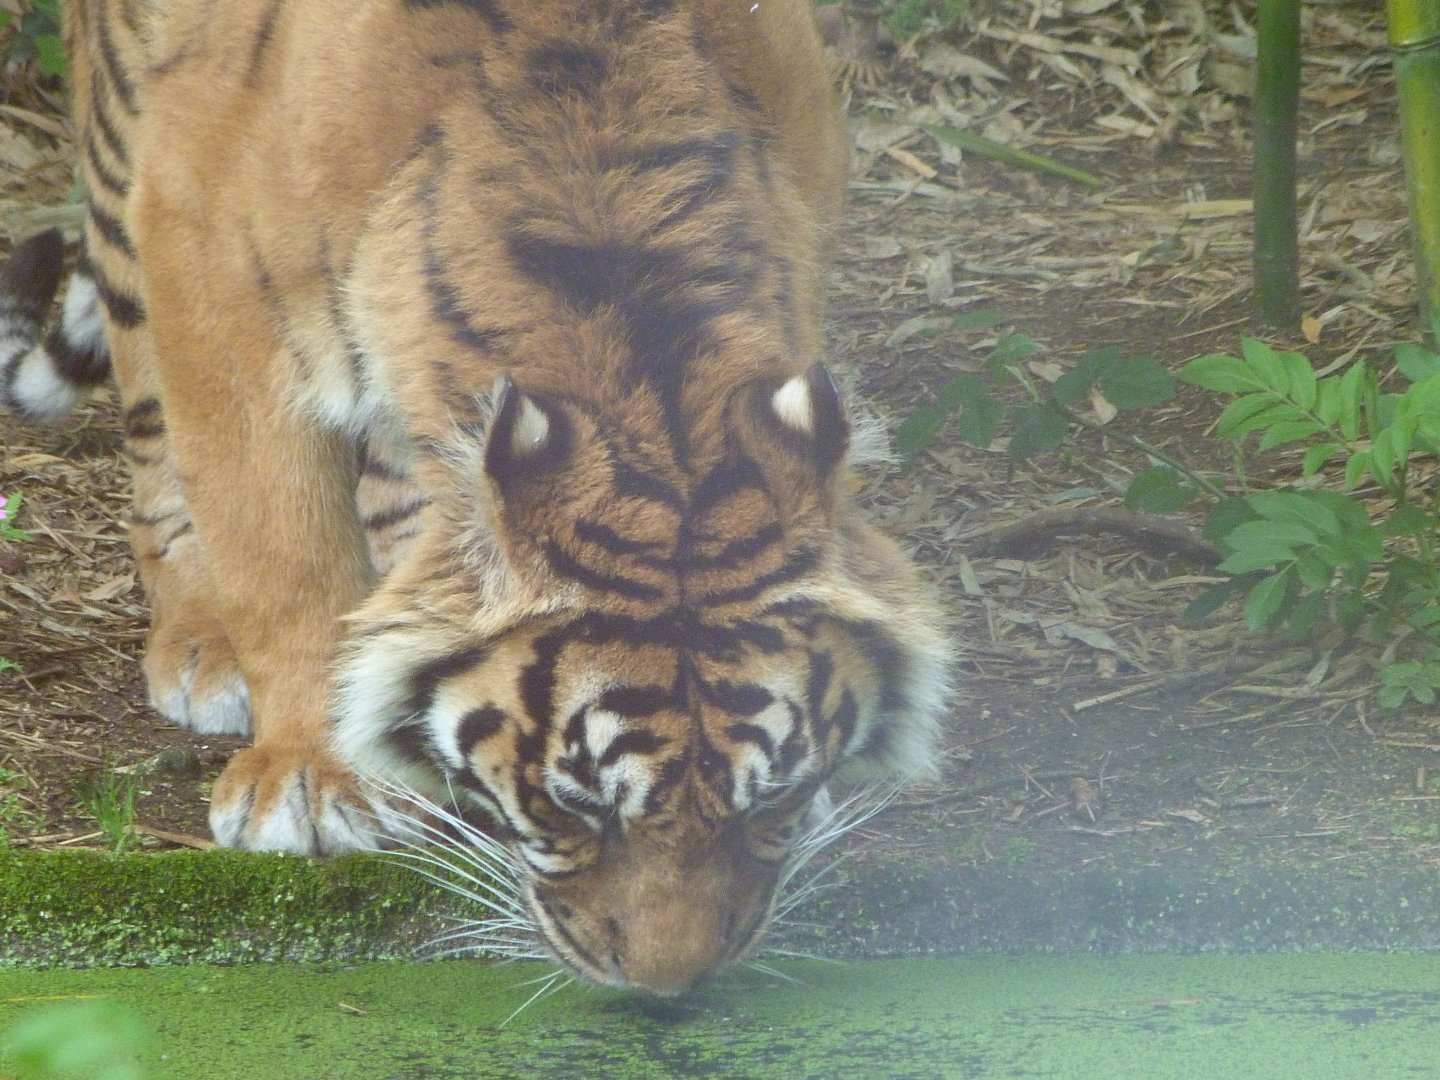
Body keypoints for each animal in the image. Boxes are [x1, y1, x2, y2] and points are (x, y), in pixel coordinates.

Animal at [0, 0, 950, 995]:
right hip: (122, 163)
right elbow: (279, 547)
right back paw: (201, 640)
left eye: (776, 802)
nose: (669, 994)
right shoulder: (210, 257)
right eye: (573, 808)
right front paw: (311, 779)